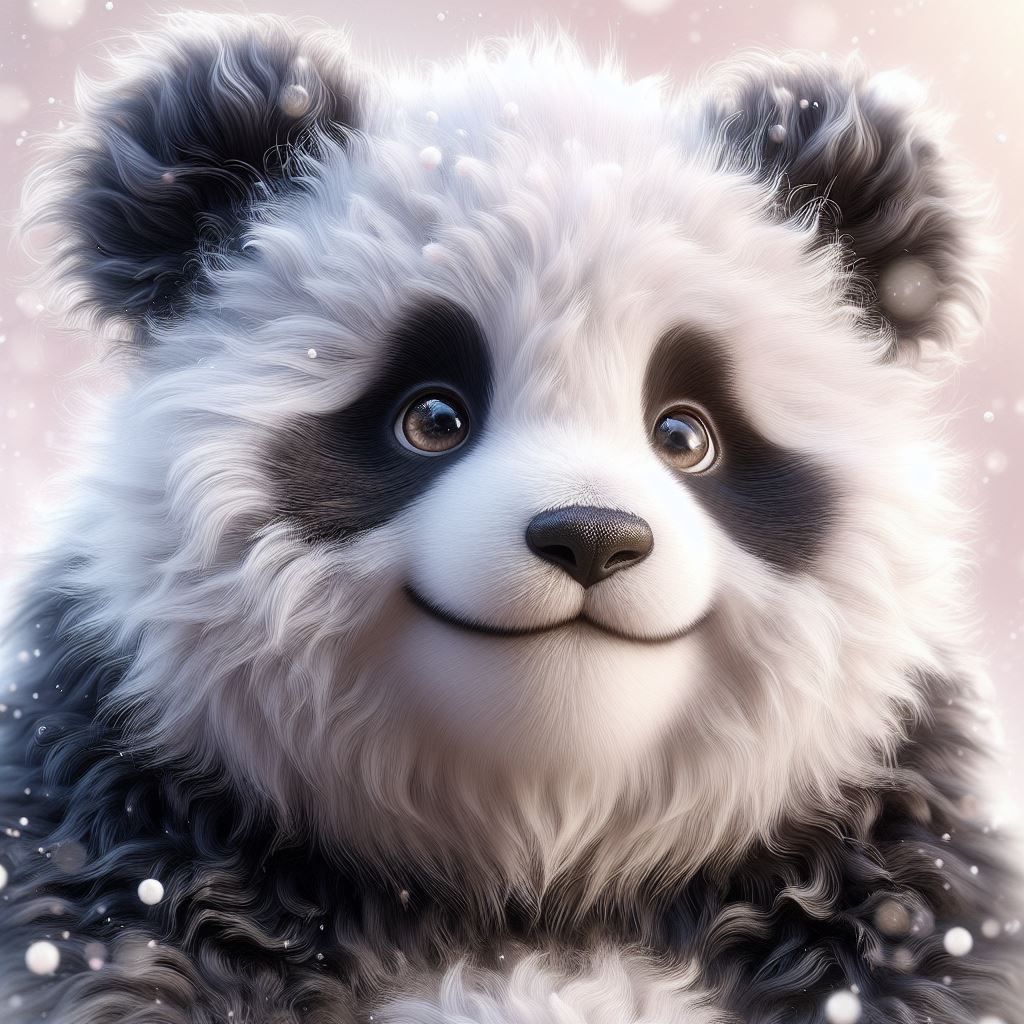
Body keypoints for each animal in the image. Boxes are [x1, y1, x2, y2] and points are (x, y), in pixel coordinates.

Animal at [1, 10, 1021, 1023]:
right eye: (432, 418)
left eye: (685, 434)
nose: (593, 537)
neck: (536, 858)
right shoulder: (120, 813)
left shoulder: (886, 857)